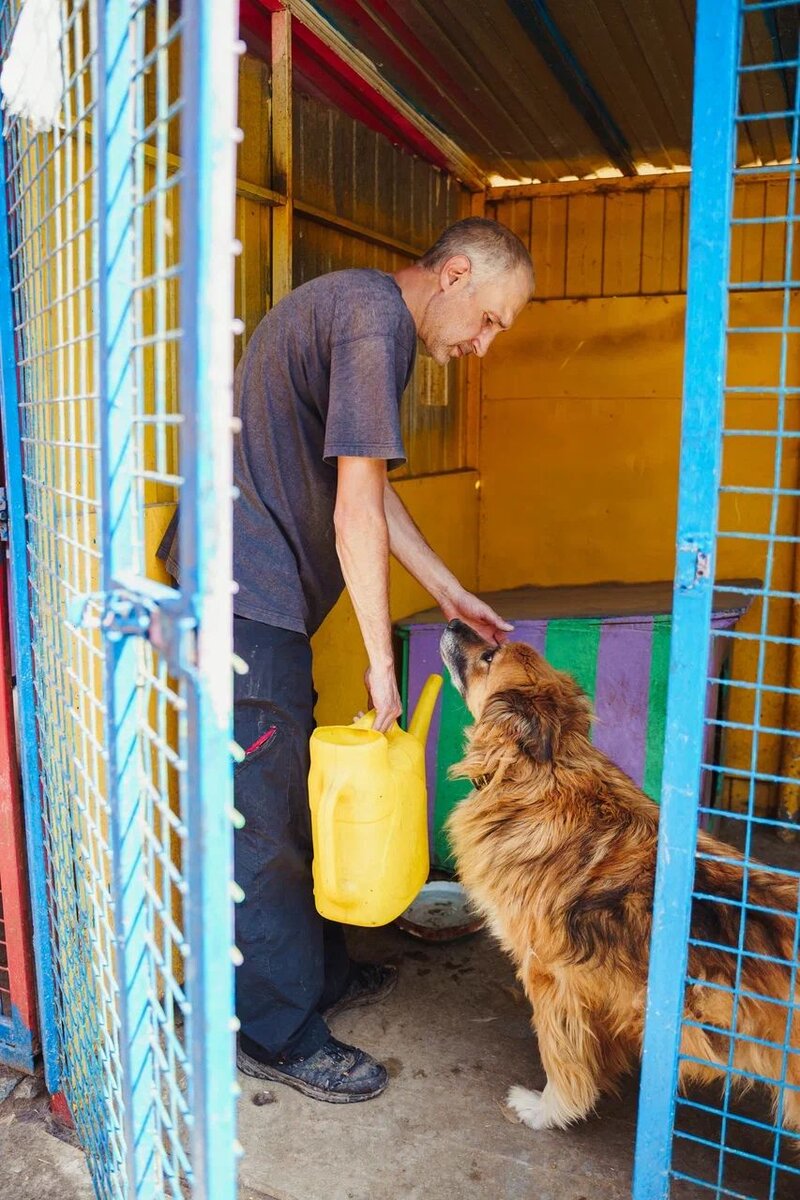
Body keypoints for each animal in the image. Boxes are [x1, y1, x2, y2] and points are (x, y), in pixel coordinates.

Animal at [441, 624, 796, 1137]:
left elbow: (562, 1057)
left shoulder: (549, 978)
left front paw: (550, 1109)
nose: (453, 622)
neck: (543, 773)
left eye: (489, 655)